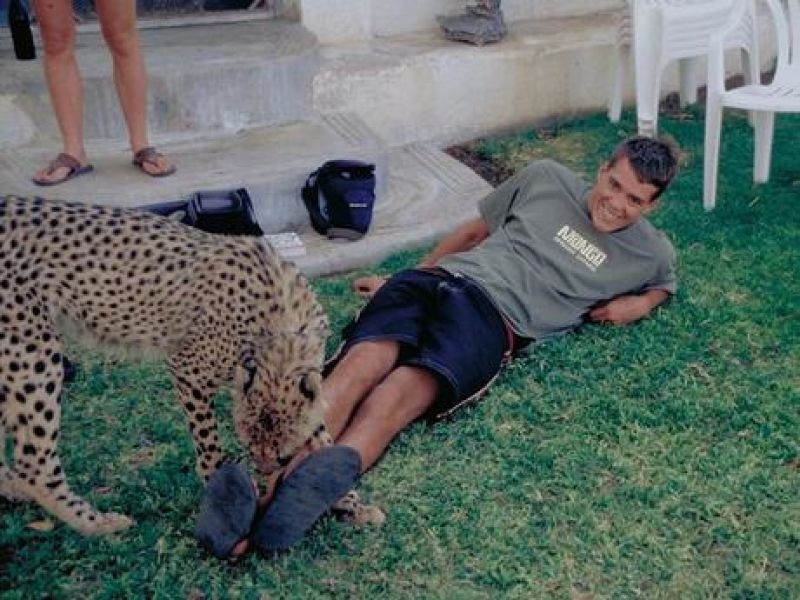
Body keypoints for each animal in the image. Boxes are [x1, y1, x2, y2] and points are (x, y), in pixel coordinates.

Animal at [0, 196, 382, 536]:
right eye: (249, 449)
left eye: (284, 458)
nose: (263, 478)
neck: (280, 336)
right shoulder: (187, 370)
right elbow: (208, 440)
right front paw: (219, 488)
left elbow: (324, 439)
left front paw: (353, 505)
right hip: (32, 351)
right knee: (35, 463)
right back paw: (97, 524)